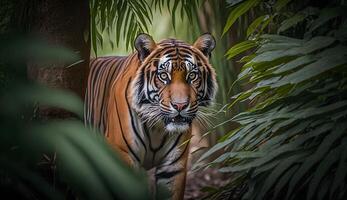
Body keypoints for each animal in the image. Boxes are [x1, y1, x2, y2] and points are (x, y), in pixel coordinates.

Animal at [84, 33, 218, 199]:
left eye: (192, 75)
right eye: (163, 76)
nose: (180, 106)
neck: (157, 128)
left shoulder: (173, 167)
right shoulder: (122, 156)